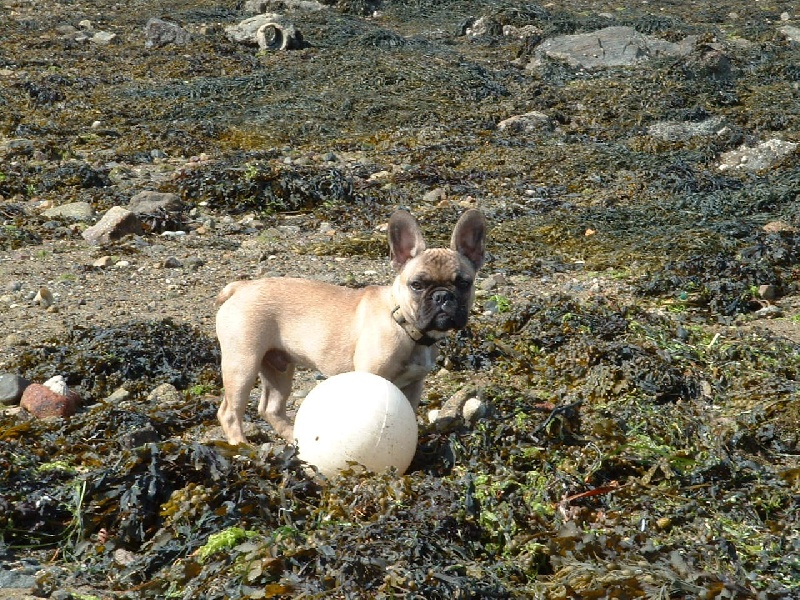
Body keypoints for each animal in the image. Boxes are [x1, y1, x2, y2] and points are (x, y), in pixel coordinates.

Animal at [215, 208, 486, 444]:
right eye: (417, 285)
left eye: (464, 283)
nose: (442, 296)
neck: (403, 324)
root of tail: (241, 287)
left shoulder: (413, 386)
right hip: (243, 363)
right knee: (229, 411)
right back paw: (242, 446)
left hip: (278, 366)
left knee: (271, 408)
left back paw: (295, 440)